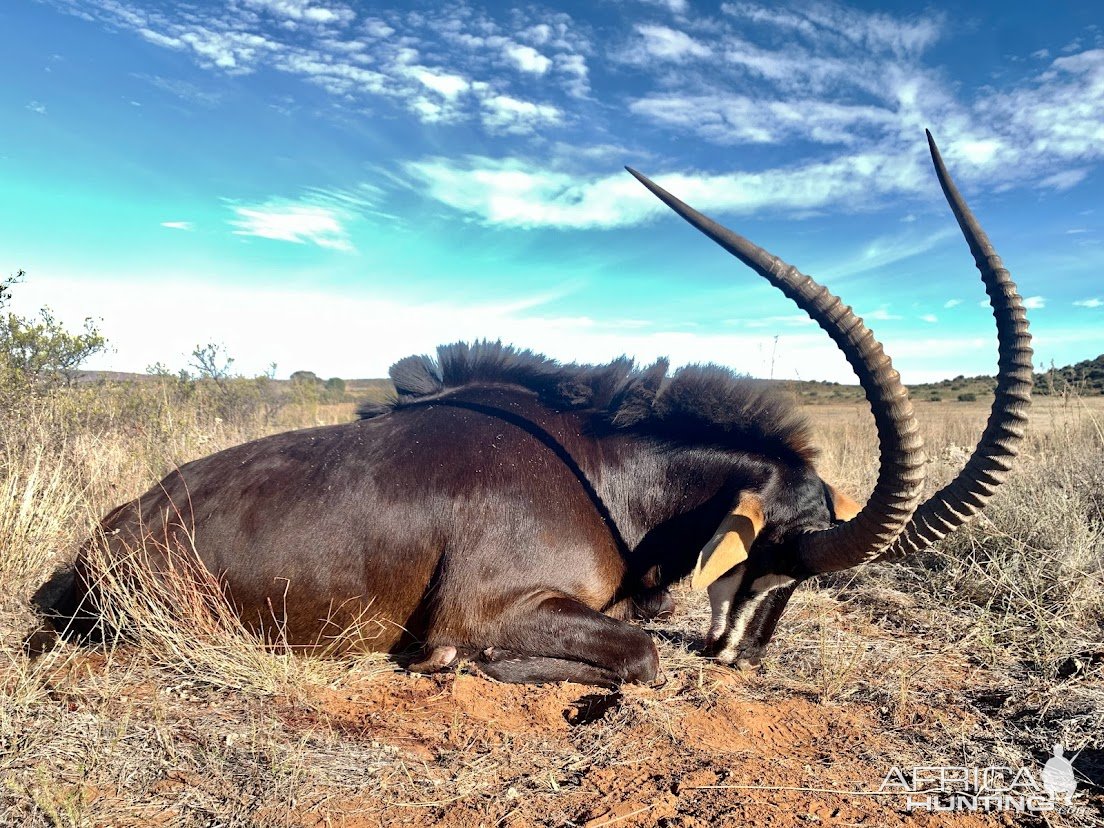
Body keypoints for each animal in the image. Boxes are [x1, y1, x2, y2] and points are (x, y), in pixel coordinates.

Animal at [36, 136, 1033, 688]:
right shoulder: (491, 609)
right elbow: (640, 655)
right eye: (779, 560)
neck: (604, 473)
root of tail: (102, 542)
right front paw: (456, 665)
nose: (744, 659)